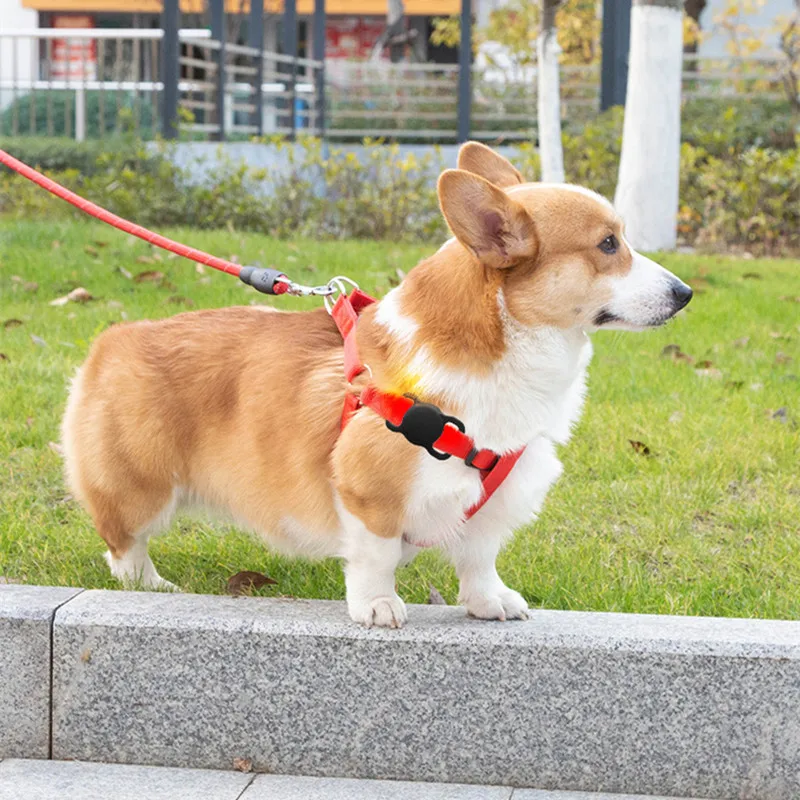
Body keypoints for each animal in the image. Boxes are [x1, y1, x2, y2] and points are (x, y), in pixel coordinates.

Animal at [62, 142, 692, 628]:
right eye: (608, 245)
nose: (685, 293)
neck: (502, 343)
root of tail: (112, 340)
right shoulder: (368, 494)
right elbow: (376, 555)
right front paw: (377, 606)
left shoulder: (494, 498)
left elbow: (480, 558)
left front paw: (489, 602)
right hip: (141, 487)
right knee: (123, 543)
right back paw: (151, 585)